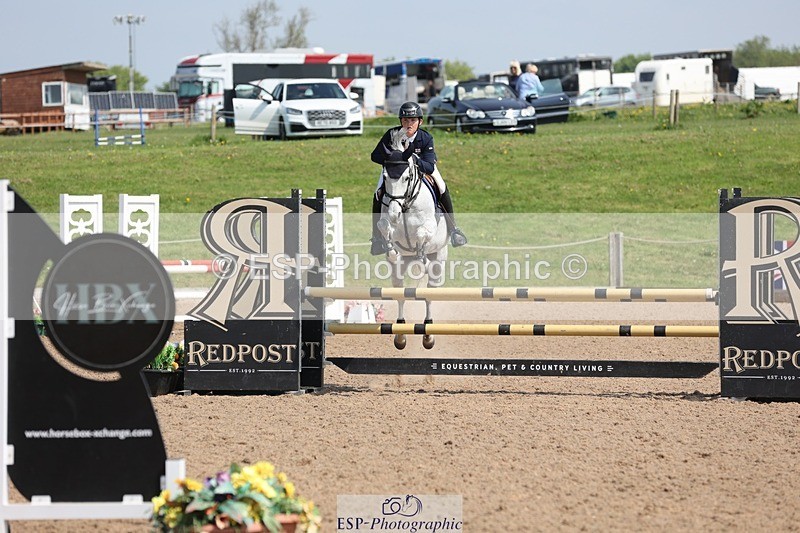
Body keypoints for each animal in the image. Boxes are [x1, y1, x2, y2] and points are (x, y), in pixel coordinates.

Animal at [376, 128, 449, 350]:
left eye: (407, 177)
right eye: (385, 176)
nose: (394, 213)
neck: (406, 203)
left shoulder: (429, 227)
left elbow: (421, 234)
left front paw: (421, 254)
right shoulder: (386, 222)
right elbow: (384, 227)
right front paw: (391, 250)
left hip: (438, 261)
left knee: (430, 293)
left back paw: (428, 334)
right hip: (398, 272)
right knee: (400, 292)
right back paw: (400, 334)